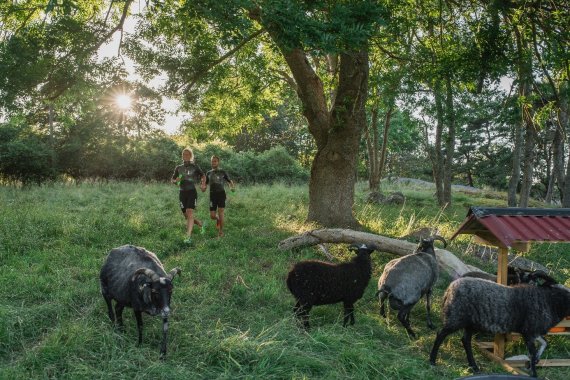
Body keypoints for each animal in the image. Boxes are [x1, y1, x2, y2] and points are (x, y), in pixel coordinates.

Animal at [428, 274, 564, 378]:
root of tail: (449, 289)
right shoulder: (529, 332)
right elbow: (533, 352)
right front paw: (534, 373)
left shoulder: (533, 332)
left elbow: (543, 343)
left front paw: (536, 361)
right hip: (455, 318)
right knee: (441, 334)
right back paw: (432, 360)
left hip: (470, 323)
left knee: (465, 340)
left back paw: (474, 367)